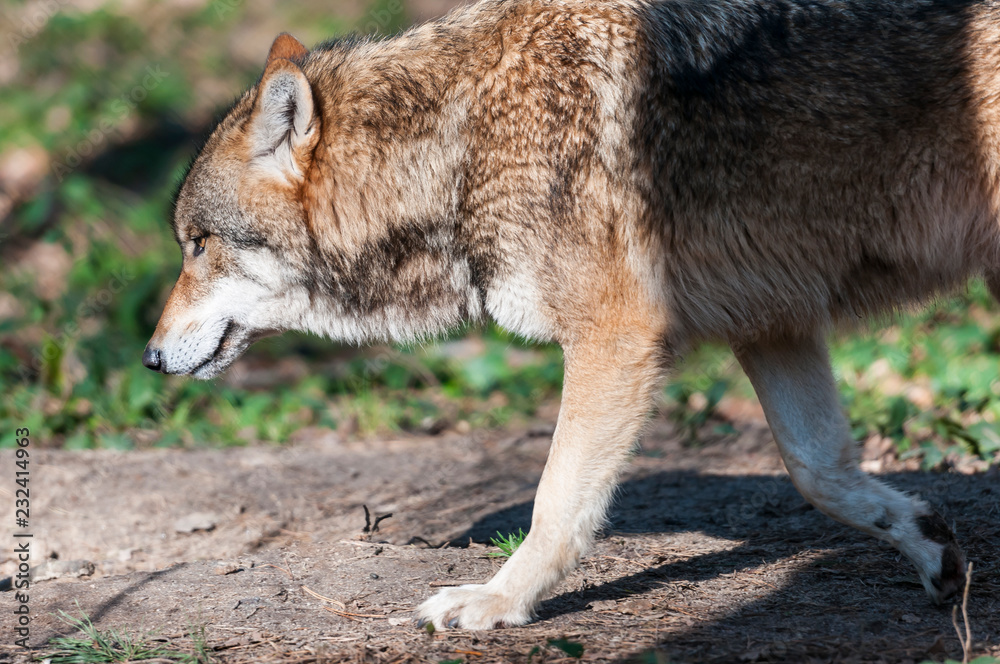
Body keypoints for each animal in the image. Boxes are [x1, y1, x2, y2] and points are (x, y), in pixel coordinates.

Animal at [142, 0, 989, 629]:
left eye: (198, 244)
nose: (148, 358)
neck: (463, 147)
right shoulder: (772, 323)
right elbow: (823, 472)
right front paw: (929, 546)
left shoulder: (615, 338)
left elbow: (555, 502)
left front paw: (498, 600)